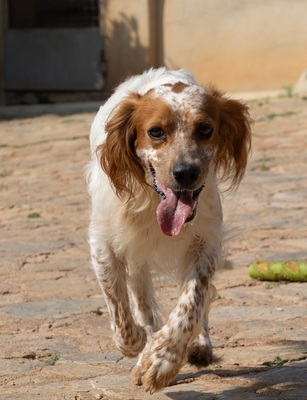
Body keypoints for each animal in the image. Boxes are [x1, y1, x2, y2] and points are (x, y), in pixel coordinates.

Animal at [85, 67, 251, 392]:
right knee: (139, 298)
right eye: (156, 132)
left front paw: (162, 359)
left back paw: (198, 345)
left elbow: (192, 302)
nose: (185, 172)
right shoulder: (103, 243)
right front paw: (140, 345)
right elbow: (121, 314)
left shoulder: (205, 242)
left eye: (205, 130)